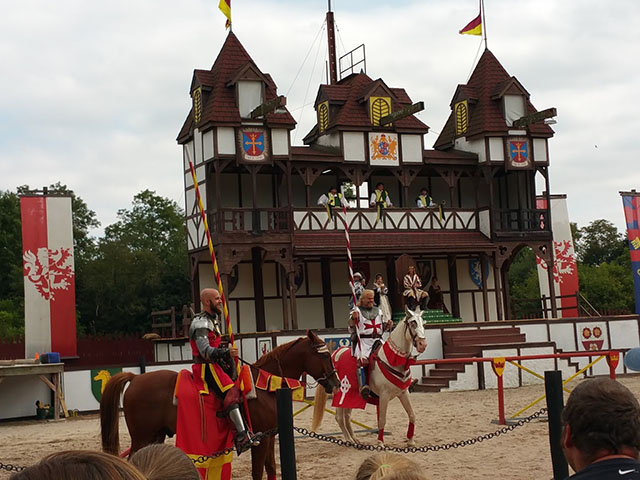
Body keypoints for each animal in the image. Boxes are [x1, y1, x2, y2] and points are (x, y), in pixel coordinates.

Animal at [100, 332, 340, 480]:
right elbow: (257, 472)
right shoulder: (260, 440)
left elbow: (271, 469)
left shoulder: (270, 436)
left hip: (155, 437)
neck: (266, 386)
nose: (336, 383)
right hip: (141, 437)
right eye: (326, 356)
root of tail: (135, 378)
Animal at [312, 308, 428, 446]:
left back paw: (354, 439)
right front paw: (380, 442)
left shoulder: (403, 393)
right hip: (340, 394)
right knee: (339, 417)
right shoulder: (384, 396)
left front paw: (410, 441)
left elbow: (412, 415)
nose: (422, 344)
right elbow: (382, 419)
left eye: (423, 323)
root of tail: (335, 353)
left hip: (350, 395)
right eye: (413, 323)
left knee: (346, 416)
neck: (392, 359)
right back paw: (348, 440)